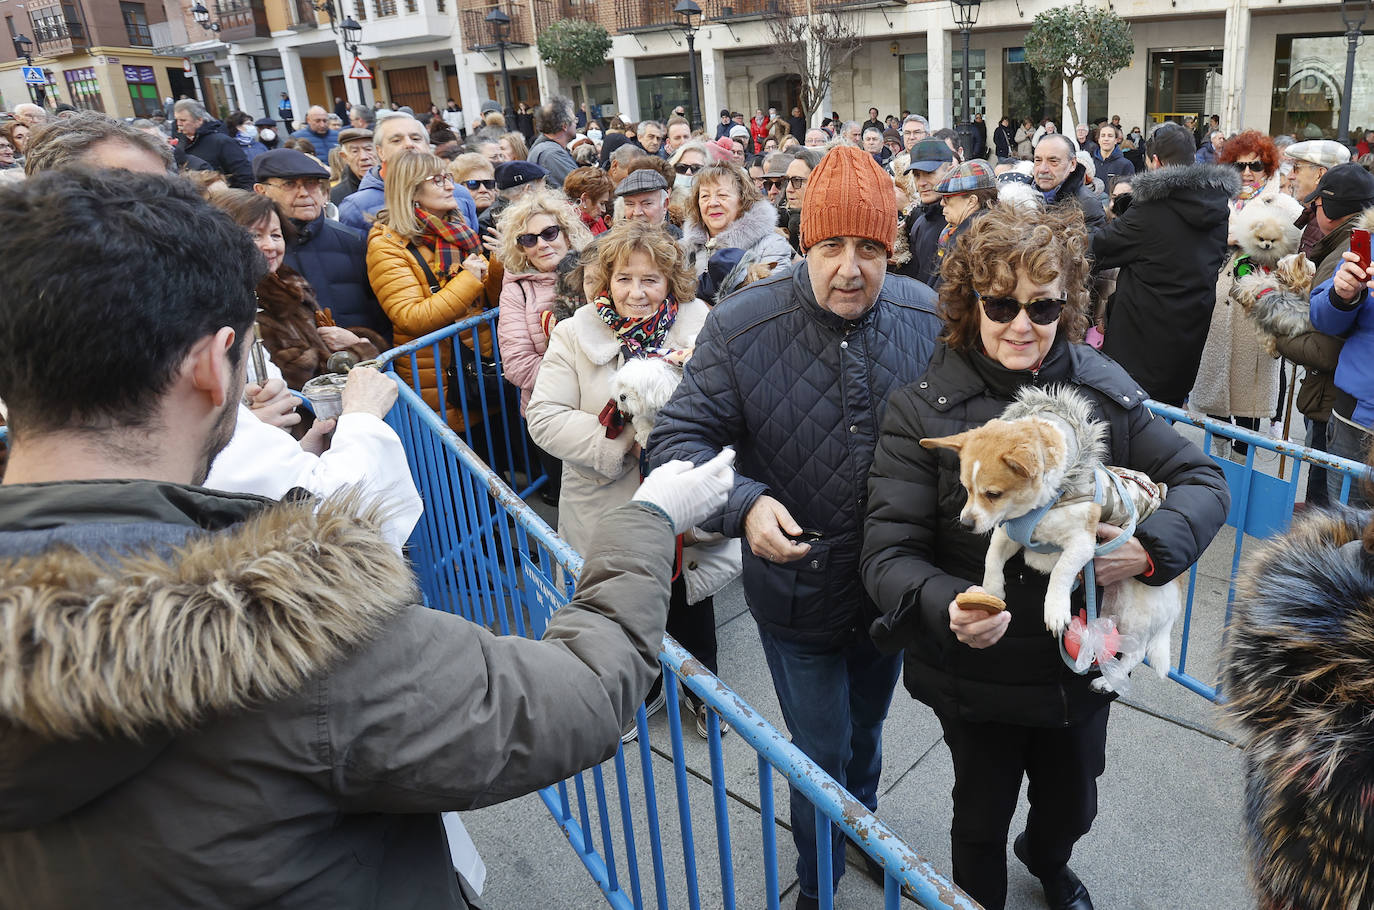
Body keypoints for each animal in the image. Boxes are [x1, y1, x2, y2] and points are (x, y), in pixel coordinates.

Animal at [923, 382, 1181, 692]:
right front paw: (992, 591)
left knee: (1136, 651)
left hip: (1134, 612)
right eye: (966, 488)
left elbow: (1061, 570)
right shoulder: (1007, 533)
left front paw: (1055, 608)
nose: (965, 523)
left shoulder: (1082, 544)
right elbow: (992, 559)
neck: (1042, 505)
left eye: (993, 494)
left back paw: (1109, 681)